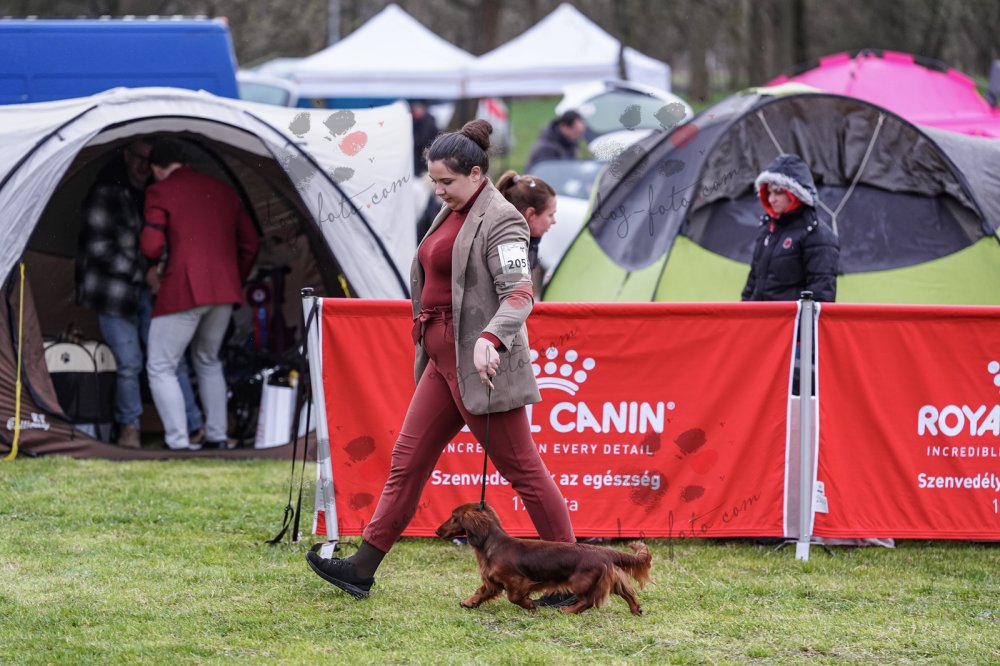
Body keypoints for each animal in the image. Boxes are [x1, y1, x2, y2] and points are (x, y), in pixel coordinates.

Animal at [435, 502, 652, 615]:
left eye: (453, 517)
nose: (437, 531)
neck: (492, 545)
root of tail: (604, 551)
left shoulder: (516, 581)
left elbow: (514, 597)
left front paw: (530, 605)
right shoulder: (492, 582)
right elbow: (480, 592)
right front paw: (468, 602)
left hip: (580, 581)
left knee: (587, 601)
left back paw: (568, 610)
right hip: (609, 580)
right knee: (627, 592)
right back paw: (636, 609)